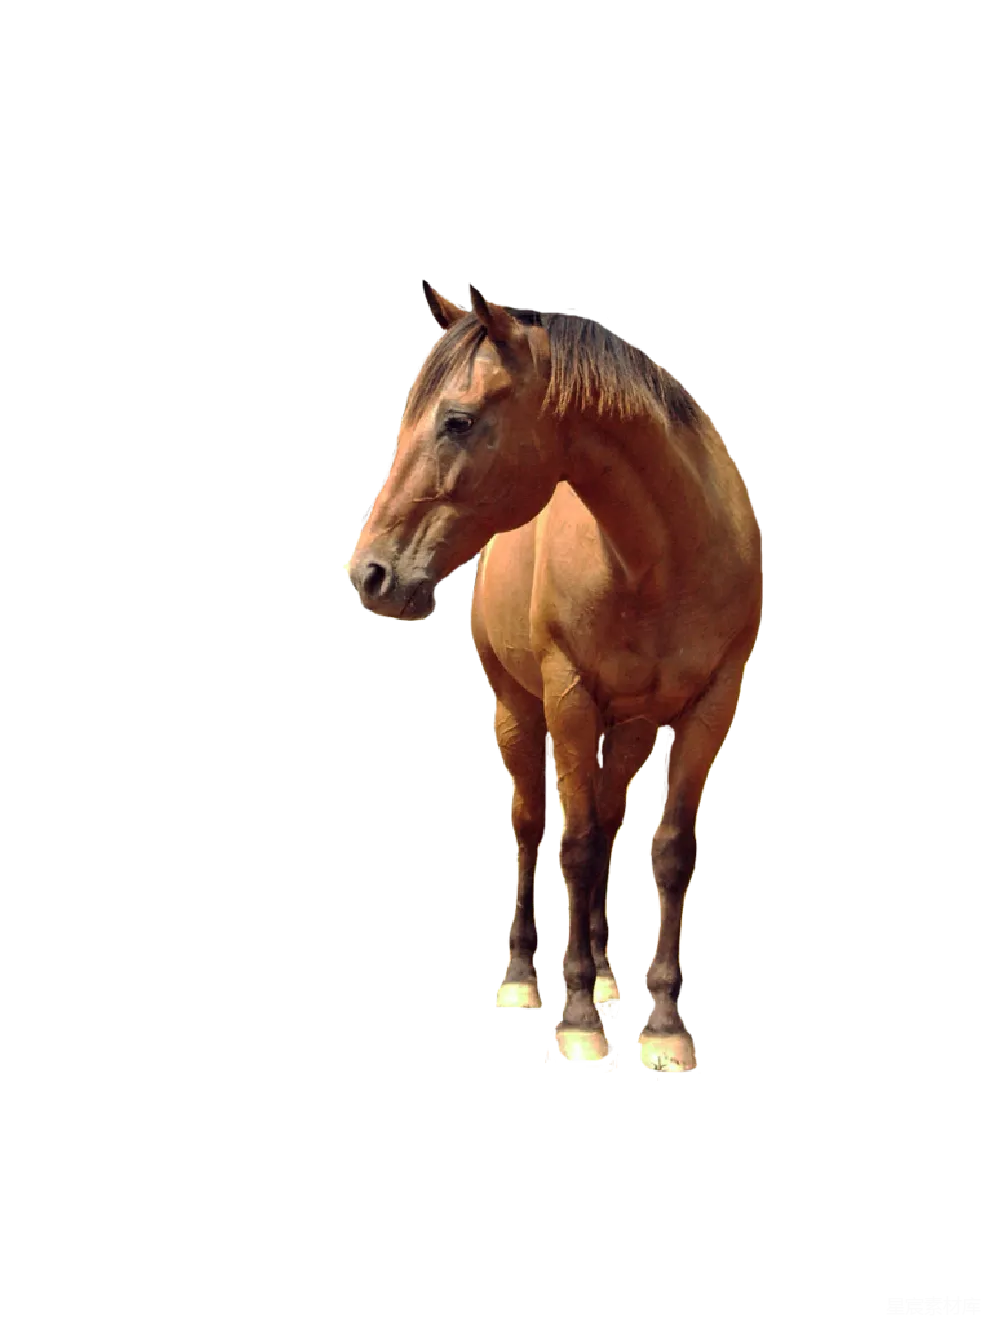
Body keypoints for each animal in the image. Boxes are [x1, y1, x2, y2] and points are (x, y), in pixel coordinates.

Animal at [348, 283, 763, 1071]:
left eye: (457, 421)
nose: (370, 574)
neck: (664, 557)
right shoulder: (568, 695)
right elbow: (571, 845)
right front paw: (575, 1021)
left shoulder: (711, 705)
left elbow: (669, 850)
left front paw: (664, 1025)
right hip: (518, 709)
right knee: (534, 821)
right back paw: (525, 973)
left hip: (630, 726)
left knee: (606, 818)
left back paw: (601, 973)